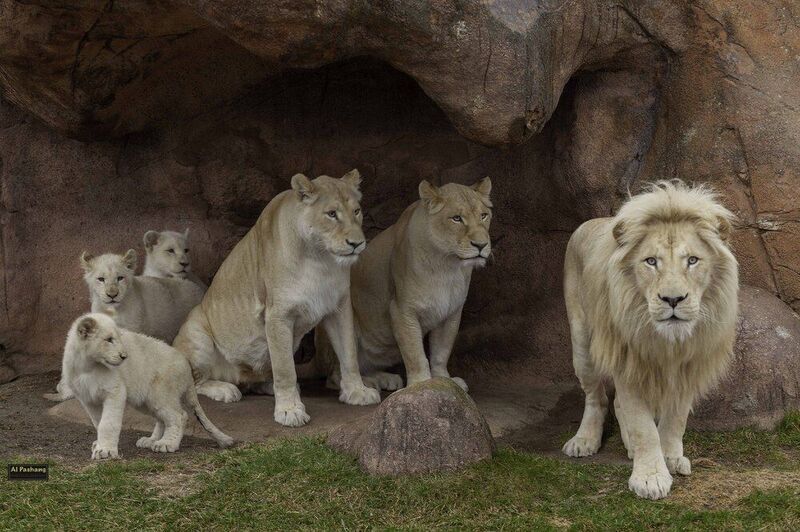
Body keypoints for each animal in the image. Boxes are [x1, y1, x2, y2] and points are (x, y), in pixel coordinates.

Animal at [62, 313, 234, 459]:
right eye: (109, 339)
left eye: (118, 338)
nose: (124, 356)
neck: (88, 366)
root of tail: (186, 365)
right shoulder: (88, 399)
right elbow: (98, 421)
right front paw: (100, 445)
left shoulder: (115, 392)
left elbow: (108, 422)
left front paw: (105, 451)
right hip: (145, 401)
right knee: (162, 419)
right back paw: (151, 441)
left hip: (161, 394)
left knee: (179, 416)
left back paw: (166, 444)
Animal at [172, 169, 380, 428]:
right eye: (332, 214)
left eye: (357, 211)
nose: (356, 243)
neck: (321, 260)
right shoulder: (277, 315)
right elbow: (285, 368)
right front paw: (289, 410)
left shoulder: (339, 307)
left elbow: (349, 354)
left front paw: (357, 392)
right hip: (196, 332)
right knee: (195, 383)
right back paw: (226, 389)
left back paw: (266, 385)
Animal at [313, 178, 492, 393]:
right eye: (456, 218)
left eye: (484, 215)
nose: (481, 245)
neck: (448, 265)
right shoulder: (402, 310)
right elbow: (415, 353)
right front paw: (421, 383)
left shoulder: (451, 313)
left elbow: (441, 352)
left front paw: (445, 380)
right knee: (336, 374)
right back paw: (369, 384)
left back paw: (385, 378)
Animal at [562, 180, 738, 500]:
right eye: (651, 261)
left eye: (692, 260)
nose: (673, 299)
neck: (669, 343)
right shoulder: (627, 361)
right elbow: (644, 427)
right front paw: (650, 478)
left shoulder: (688, 366)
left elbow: (675, 420)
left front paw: (670, 457)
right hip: (582, 342)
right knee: (596, 397)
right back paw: (584, 441)